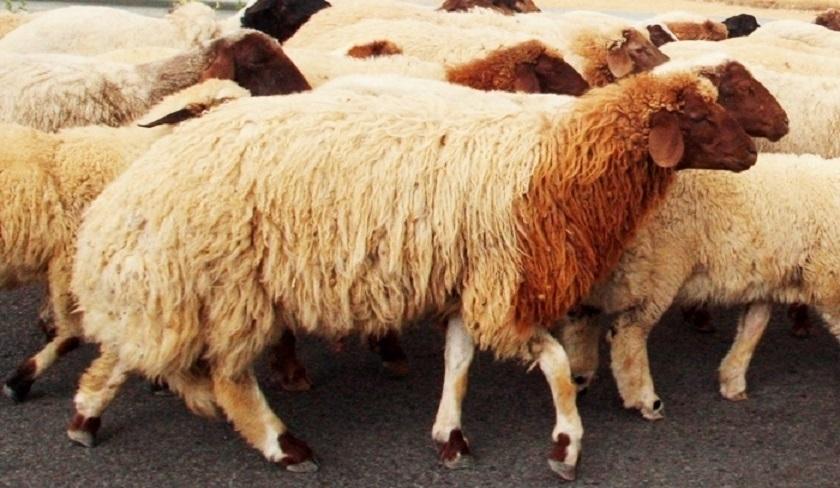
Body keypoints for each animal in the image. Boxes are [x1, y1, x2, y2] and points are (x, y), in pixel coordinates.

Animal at [67, 69, 756, 480]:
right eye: (696, 117)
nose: (751, 152)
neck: (565, 163)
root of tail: (120, 205)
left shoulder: (468, 278)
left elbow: (458, 361)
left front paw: (450, 436)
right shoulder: (504, 284)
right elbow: (558, 364)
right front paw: (566, 445)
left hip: (177, 293)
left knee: (126, 352)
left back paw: (84, 418)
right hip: (227, 290)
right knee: (229, 379)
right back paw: (285, 446)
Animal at [560, 152, 840, 420]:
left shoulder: (765, 281)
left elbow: (753, 326)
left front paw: (731, 381)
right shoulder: (829, 280)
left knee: (580, 320)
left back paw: (579, 376)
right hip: (657, 270)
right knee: (627, 333)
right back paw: (646, 400)